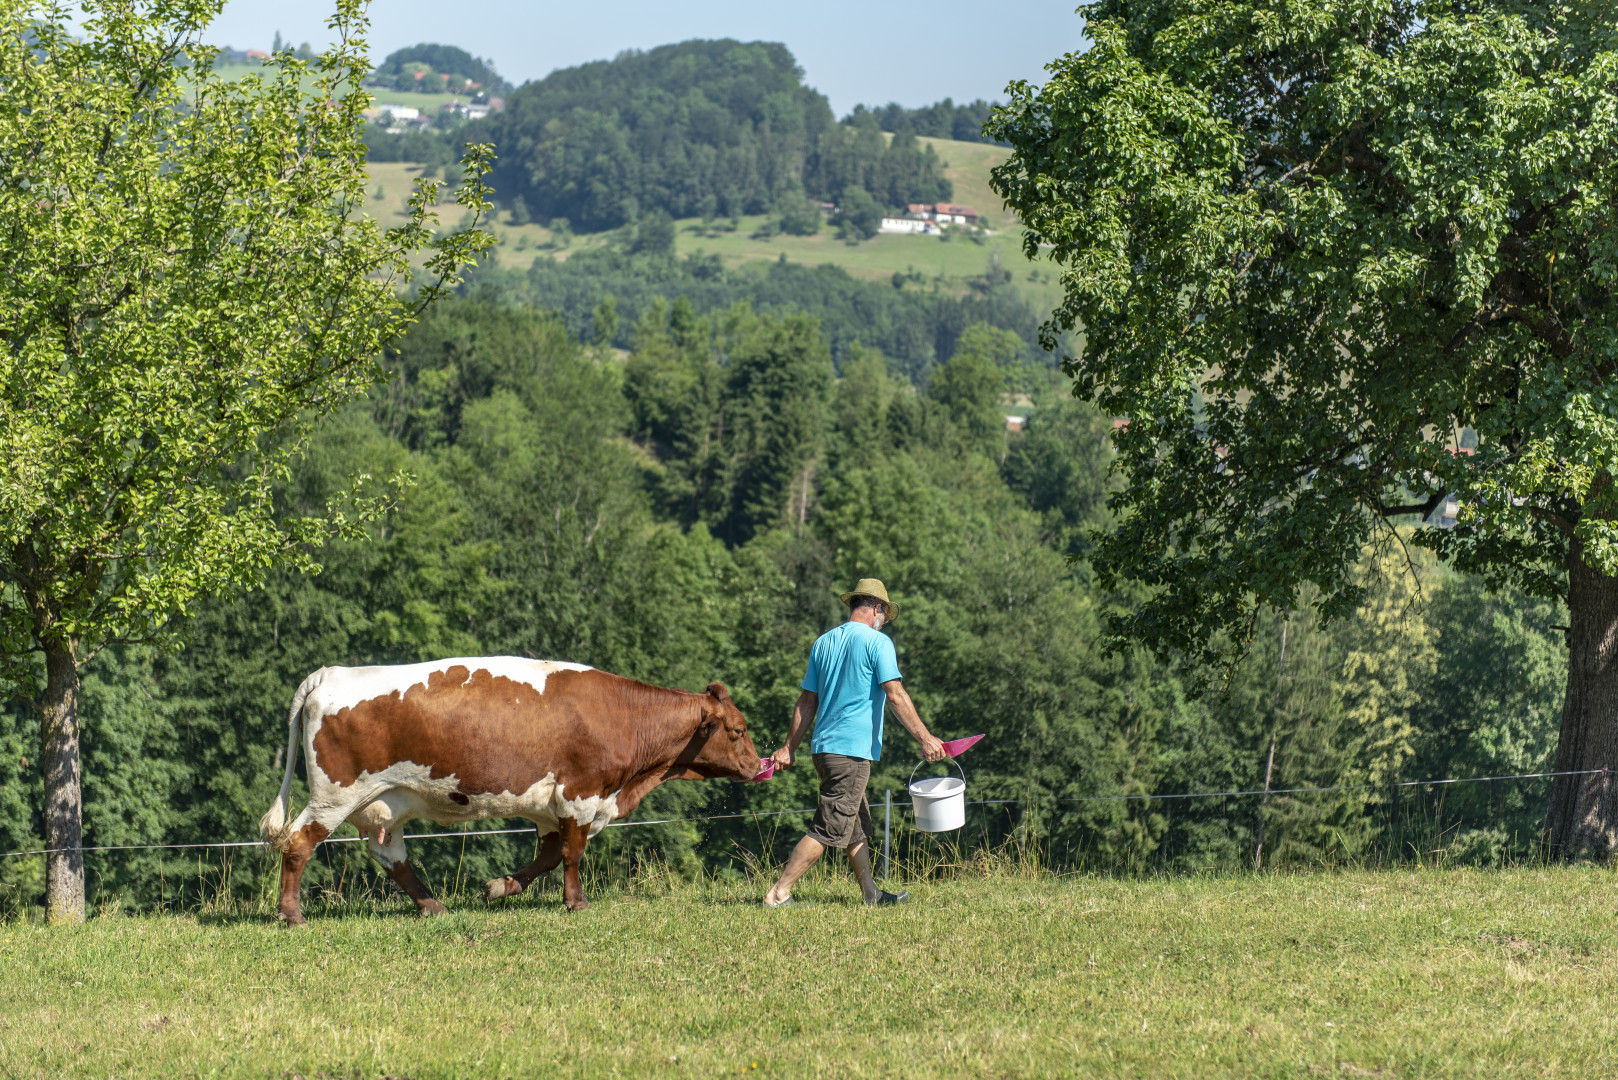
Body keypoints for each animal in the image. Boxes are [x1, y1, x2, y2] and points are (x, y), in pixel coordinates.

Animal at [257, 654, 757, 926]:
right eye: (737, 730)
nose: (758, 765)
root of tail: (331, 673)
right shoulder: (580, 794)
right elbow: (573, 854)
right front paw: (576, 903)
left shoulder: (551, 806)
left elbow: (550, 855)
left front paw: (499, 887)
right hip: (334, 796)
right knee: (297, 844)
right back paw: (292, 915)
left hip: (384, 803)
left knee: (391, 857)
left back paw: (433, 906)